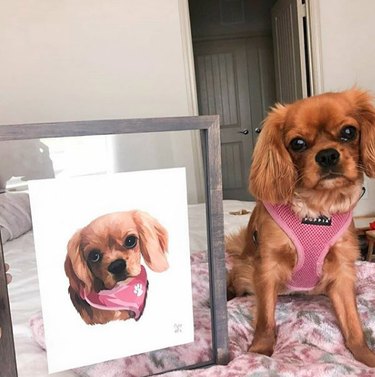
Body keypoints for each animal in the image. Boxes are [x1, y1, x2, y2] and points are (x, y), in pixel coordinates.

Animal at [228, 87, 375, 364]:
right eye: (298, 143)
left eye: (349, 132)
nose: (327, 155)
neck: (316, 212)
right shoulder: (267, 267)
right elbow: (265, 318)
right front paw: (260, 351)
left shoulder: (341, 272)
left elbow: (353, 324)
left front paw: (365, 357)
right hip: (244, 271)